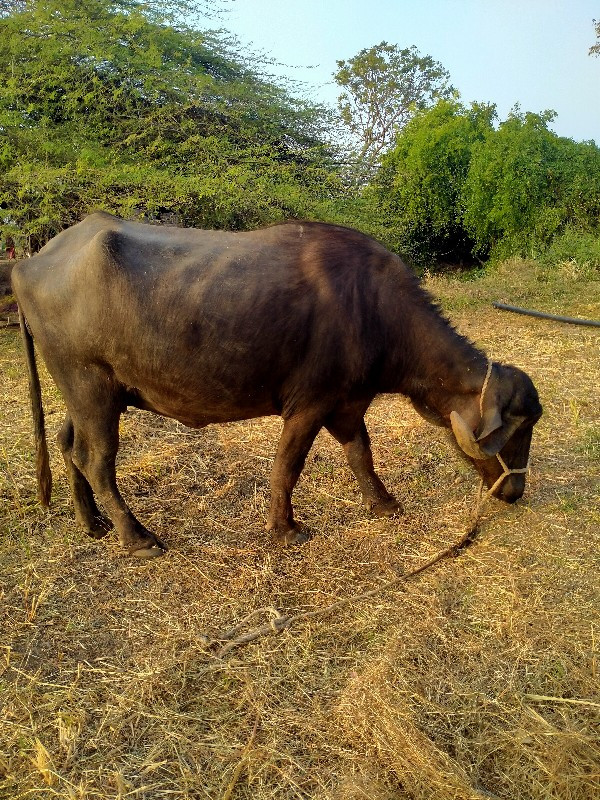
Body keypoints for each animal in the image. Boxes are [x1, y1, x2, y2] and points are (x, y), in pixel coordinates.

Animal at [14, 216, 540, 560]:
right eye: (519, 430)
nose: (516, 492)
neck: (374, 309)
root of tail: (28, 265)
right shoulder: (309, 405)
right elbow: (288, 467)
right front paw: (284, 528)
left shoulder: (347, 404)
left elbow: (360, 455)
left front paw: (383, 503)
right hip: (90, 387)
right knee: (96, 460)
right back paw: (137, 538)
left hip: (85, 392)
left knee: (67, 443)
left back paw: (92, 523)